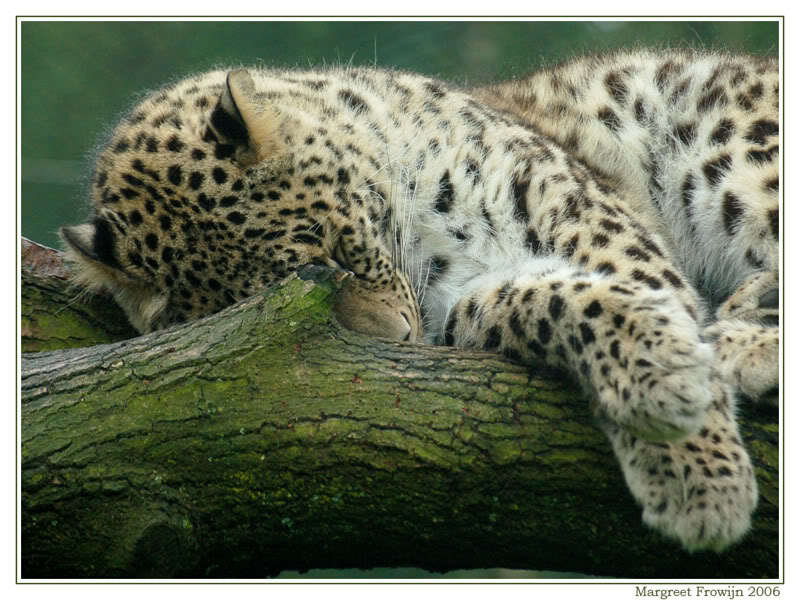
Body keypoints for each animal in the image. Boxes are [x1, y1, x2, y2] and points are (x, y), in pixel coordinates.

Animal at [59, 48, 778, 554]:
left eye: (338, 249)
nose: (400, 341)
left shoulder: (576, 209)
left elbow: (642, 291)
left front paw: (696, 467)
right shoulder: (464, 311)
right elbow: (559, 301)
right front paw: (679, 412)